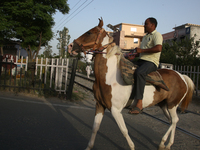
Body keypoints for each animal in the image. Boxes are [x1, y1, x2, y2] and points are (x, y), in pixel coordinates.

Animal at [68, 18, 195, 150]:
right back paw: (167, 144)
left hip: (172, 105)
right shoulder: (99, 105)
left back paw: (163, 143)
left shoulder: (115, 110)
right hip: (164, 105)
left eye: (89, 32)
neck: (110, 76)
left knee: (175, 120)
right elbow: (95, 128)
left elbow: (124, 131)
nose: (70, 46)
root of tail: (182, 77)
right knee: (172, 121)